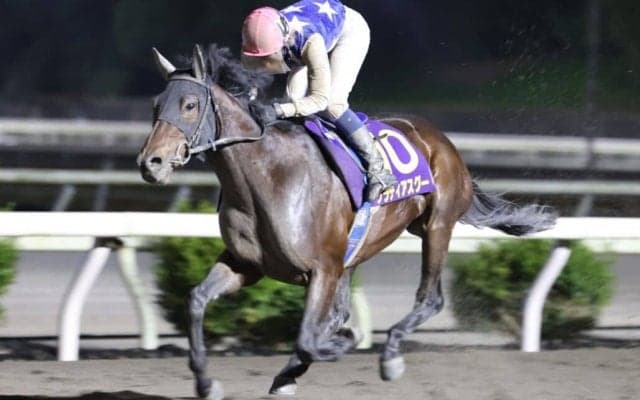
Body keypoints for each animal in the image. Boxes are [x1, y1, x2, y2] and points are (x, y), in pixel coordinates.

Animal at [137, 44, 556, 400]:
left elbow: (310, 336)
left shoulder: (322, 267)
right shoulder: (246, 264)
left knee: (430, 297)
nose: (149, 163)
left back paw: (389, 355)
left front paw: (344, 343)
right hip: (358, 250)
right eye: (156, 104)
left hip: (437, 226)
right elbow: (196, 300)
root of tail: (440, 140)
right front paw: (207, 383)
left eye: (190, 104)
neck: (268, 177)